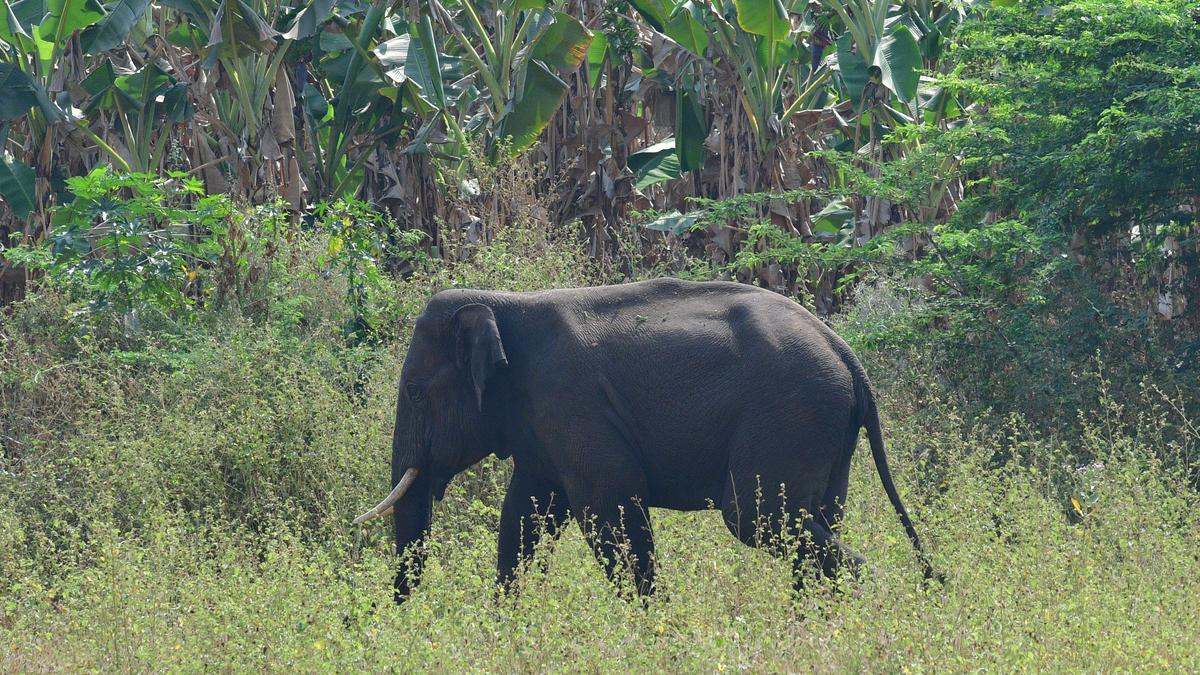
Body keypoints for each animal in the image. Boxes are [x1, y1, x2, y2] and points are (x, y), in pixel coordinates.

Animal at [354, 277, 937, 602]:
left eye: (414, 392)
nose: (391, 613)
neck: (503, 301)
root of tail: (848, 356)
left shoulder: (569, 400)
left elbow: (607, 509)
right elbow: (525, 515)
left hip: (791, 415)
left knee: (755, 515)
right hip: (824, 432)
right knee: (812, 520)